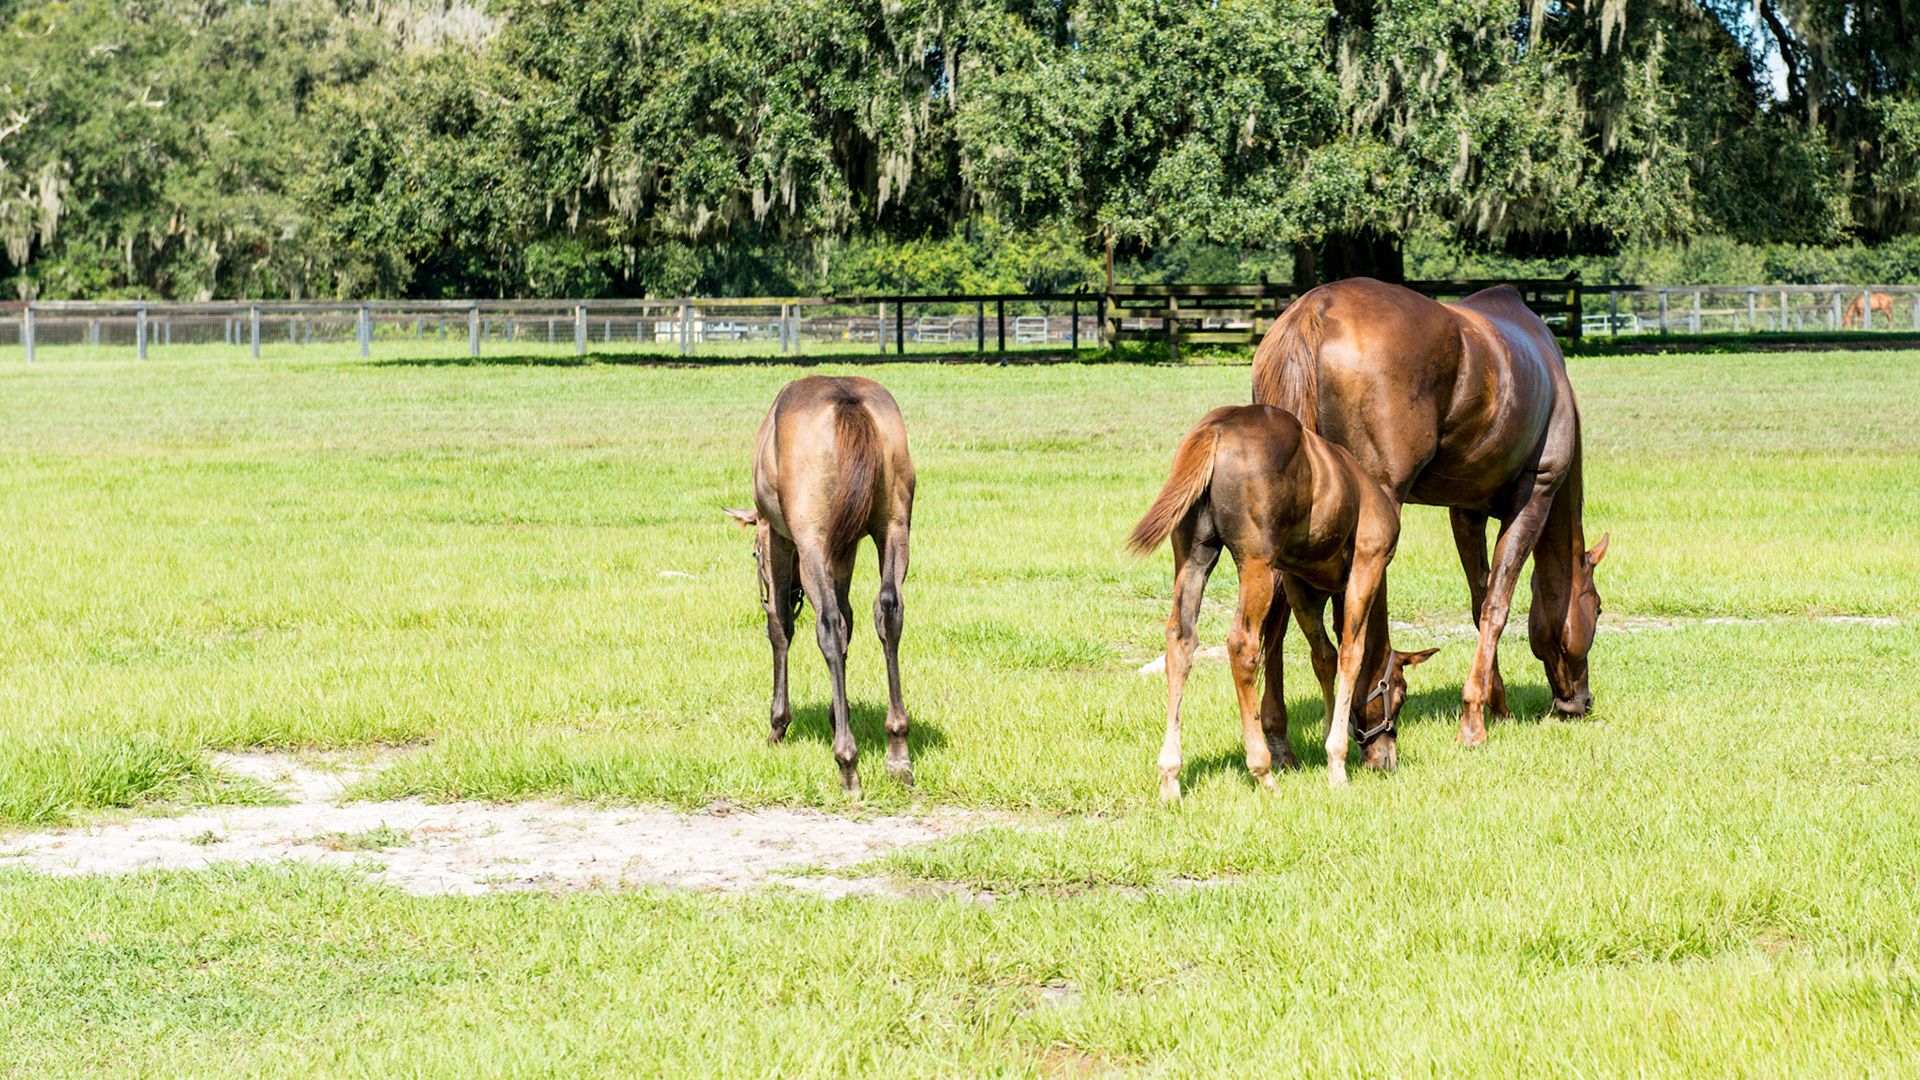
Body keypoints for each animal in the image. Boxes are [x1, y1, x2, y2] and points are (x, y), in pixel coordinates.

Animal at [724, 375, 916, 795]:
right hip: (893, 526)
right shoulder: (846, 548)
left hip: (810, 537)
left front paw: (778, 724)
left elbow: (781, 626)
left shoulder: (779, 536)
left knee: (827, 623)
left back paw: (847, 762)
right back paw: (898, 749)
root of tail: (848, 401)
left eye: (755, 553)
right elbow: (850, 618)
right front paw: (835, 712)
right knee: (888, 611)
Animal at [1129, 404, 1437, 795]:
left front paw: (1330, 740)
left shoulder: (1298, 583)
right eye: (1400, 694)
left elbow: (1324, 656)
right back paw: (1263, 771)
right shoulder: (1368, 564)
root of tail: (1218, 427)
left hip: (1194, 556)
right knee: (1242, 645)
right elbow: (1351, 653)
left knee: (1181, 639)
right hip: (1255, 562)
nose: (1385, 762)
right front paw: (1337, 763)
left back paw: (1171, 776)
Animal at [1252, 277, 1607, 746]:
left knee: (1278, 606)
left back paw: (1276, 737)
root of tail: (1315, 311)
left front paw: (1497, 705)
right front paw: (1474, 718)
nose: (1579, 703)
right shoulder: (1536, 494)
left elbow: (1479, 600)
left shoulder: (1465, 511)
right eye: (1597, 608)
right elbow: (1497, 605)